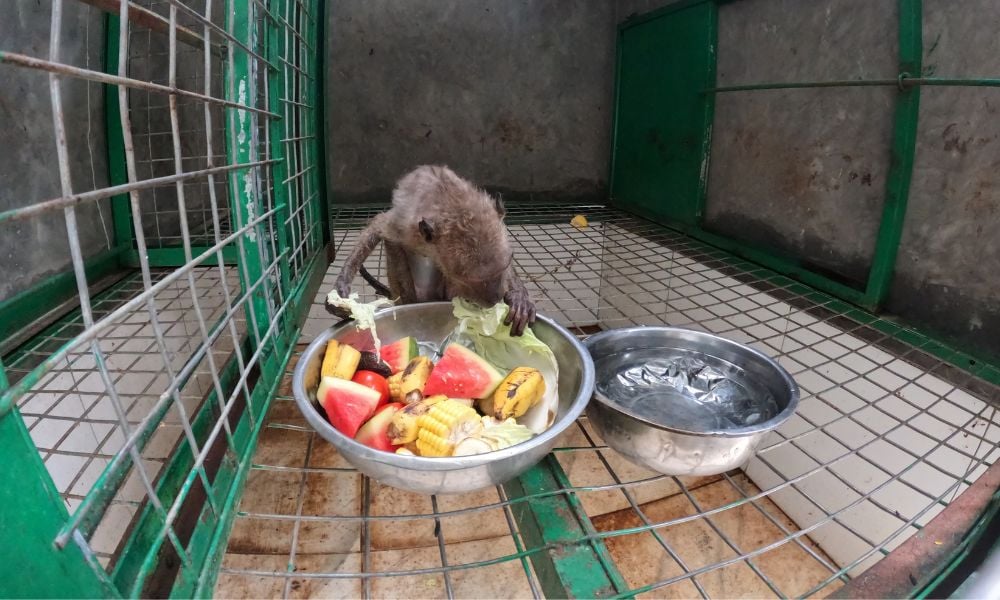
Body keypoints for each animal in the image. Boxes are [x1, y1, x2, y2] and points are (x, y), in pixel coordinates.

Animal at [326, 165, 537, 336]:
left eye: (506, 265)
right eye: (468, 279)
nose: (494, 299)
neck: (452, 203)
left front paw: (518, 298)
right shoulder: (405, 227)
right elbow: (382, 229)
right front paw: (341, 290)